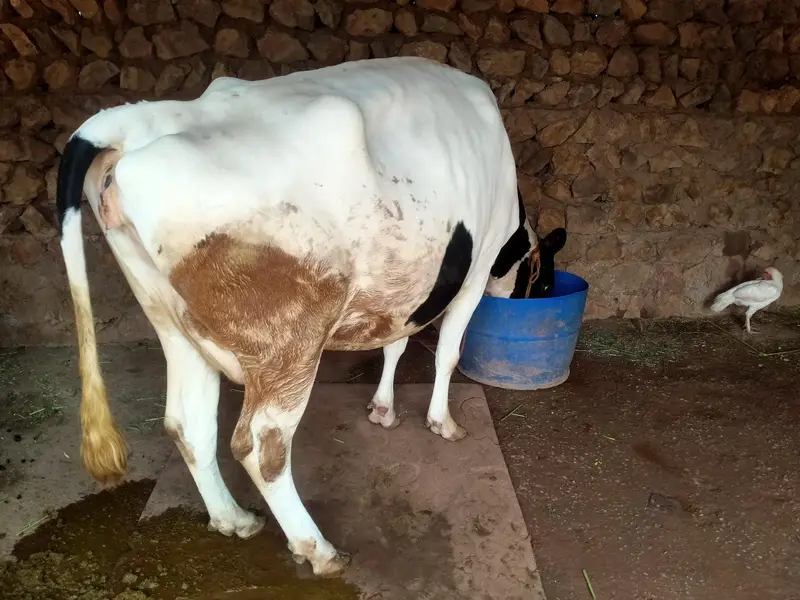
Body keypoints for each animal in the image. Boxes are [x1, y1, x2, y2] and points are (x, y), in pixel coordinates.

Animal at [57, 57, 549, 577]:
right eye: (540, 278)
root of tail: (134, 121)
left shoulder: (405, 293)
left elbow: (395, 342)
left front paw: (383, 408)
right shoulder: (474, 271)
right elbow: (448, 353)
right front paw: (442, 422)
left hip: (171, 323)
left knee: (187, 425)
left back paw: (234, 519)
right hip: (288, 345)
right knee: (260, 445)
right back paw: (318, 549)